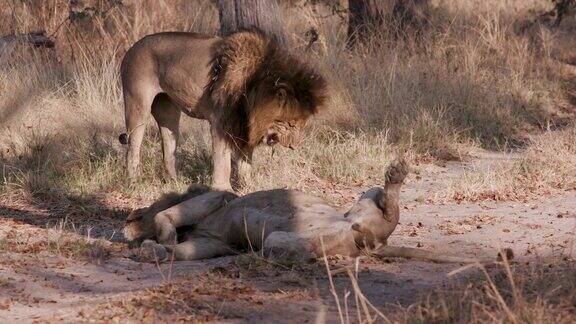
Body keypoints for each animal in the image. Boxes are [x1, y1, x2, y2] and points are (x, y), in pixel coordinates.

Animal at [120, 30, 328, 190]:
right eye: (290, 124)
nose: (295, 146)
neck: (252, 86)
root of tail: (131, 48)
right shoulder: (220, 122)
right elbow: (223, 160)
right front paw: (223, 189)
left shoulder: (243, 125)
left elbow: (245, 161)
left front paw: (248, 188)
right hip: (137, 102)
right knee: (133, 145)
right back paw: (134, 182)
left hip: (168, 111)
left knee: (168, 146)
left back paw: (174, 183)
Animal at [124, 161, 488, 264]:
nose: (126, 228)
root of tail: (374, 244)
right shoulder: (213, 241)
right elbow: (186, 251)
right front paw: (158, 251)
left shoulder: (217, 198)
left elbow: (164, 216)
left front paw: (161, 237)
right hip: (352, 219)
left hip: (358, 207)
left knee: (388, 208)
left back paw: (396, 175)